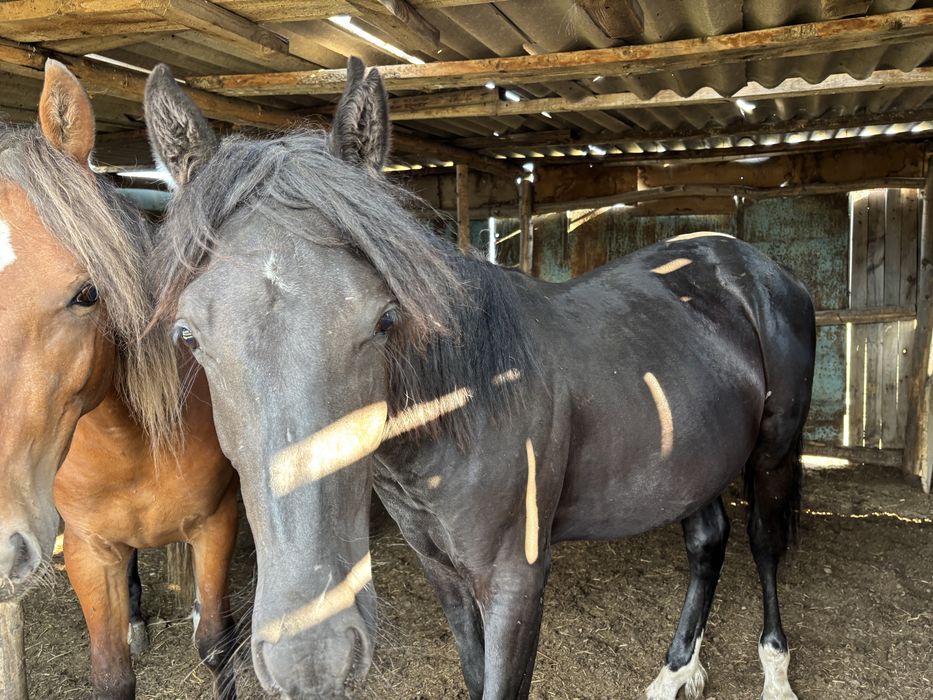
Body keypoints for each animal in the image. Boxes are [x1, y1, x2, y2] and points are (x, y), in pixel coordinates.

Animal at [145, 58, 814, 700]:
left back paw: (774, 672)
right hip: (692, 457)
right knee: (708, 540)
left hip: (773, 452)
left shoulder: (516, 580)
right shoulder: (442, 571)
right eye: (189, 336)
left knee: (762, 542)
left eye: (385, 317)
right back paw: (679, 671)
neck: (467, 402)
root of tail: (750, 265)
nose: (313, 659)